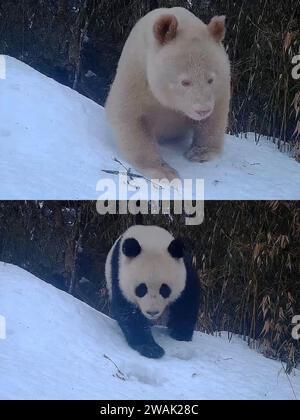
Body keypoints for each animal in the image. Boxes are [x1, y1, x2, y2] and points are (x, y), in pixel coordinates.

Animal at [105, 225, 202, 360]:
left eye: (165, 289)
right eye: (141, 289)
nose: (152, 312)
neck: (151, 239)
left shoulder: (186, 272)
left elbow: (186, 302)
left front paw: (180, 335)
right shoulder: (119, 275)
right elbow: (128, 311)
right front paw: (151, 349)